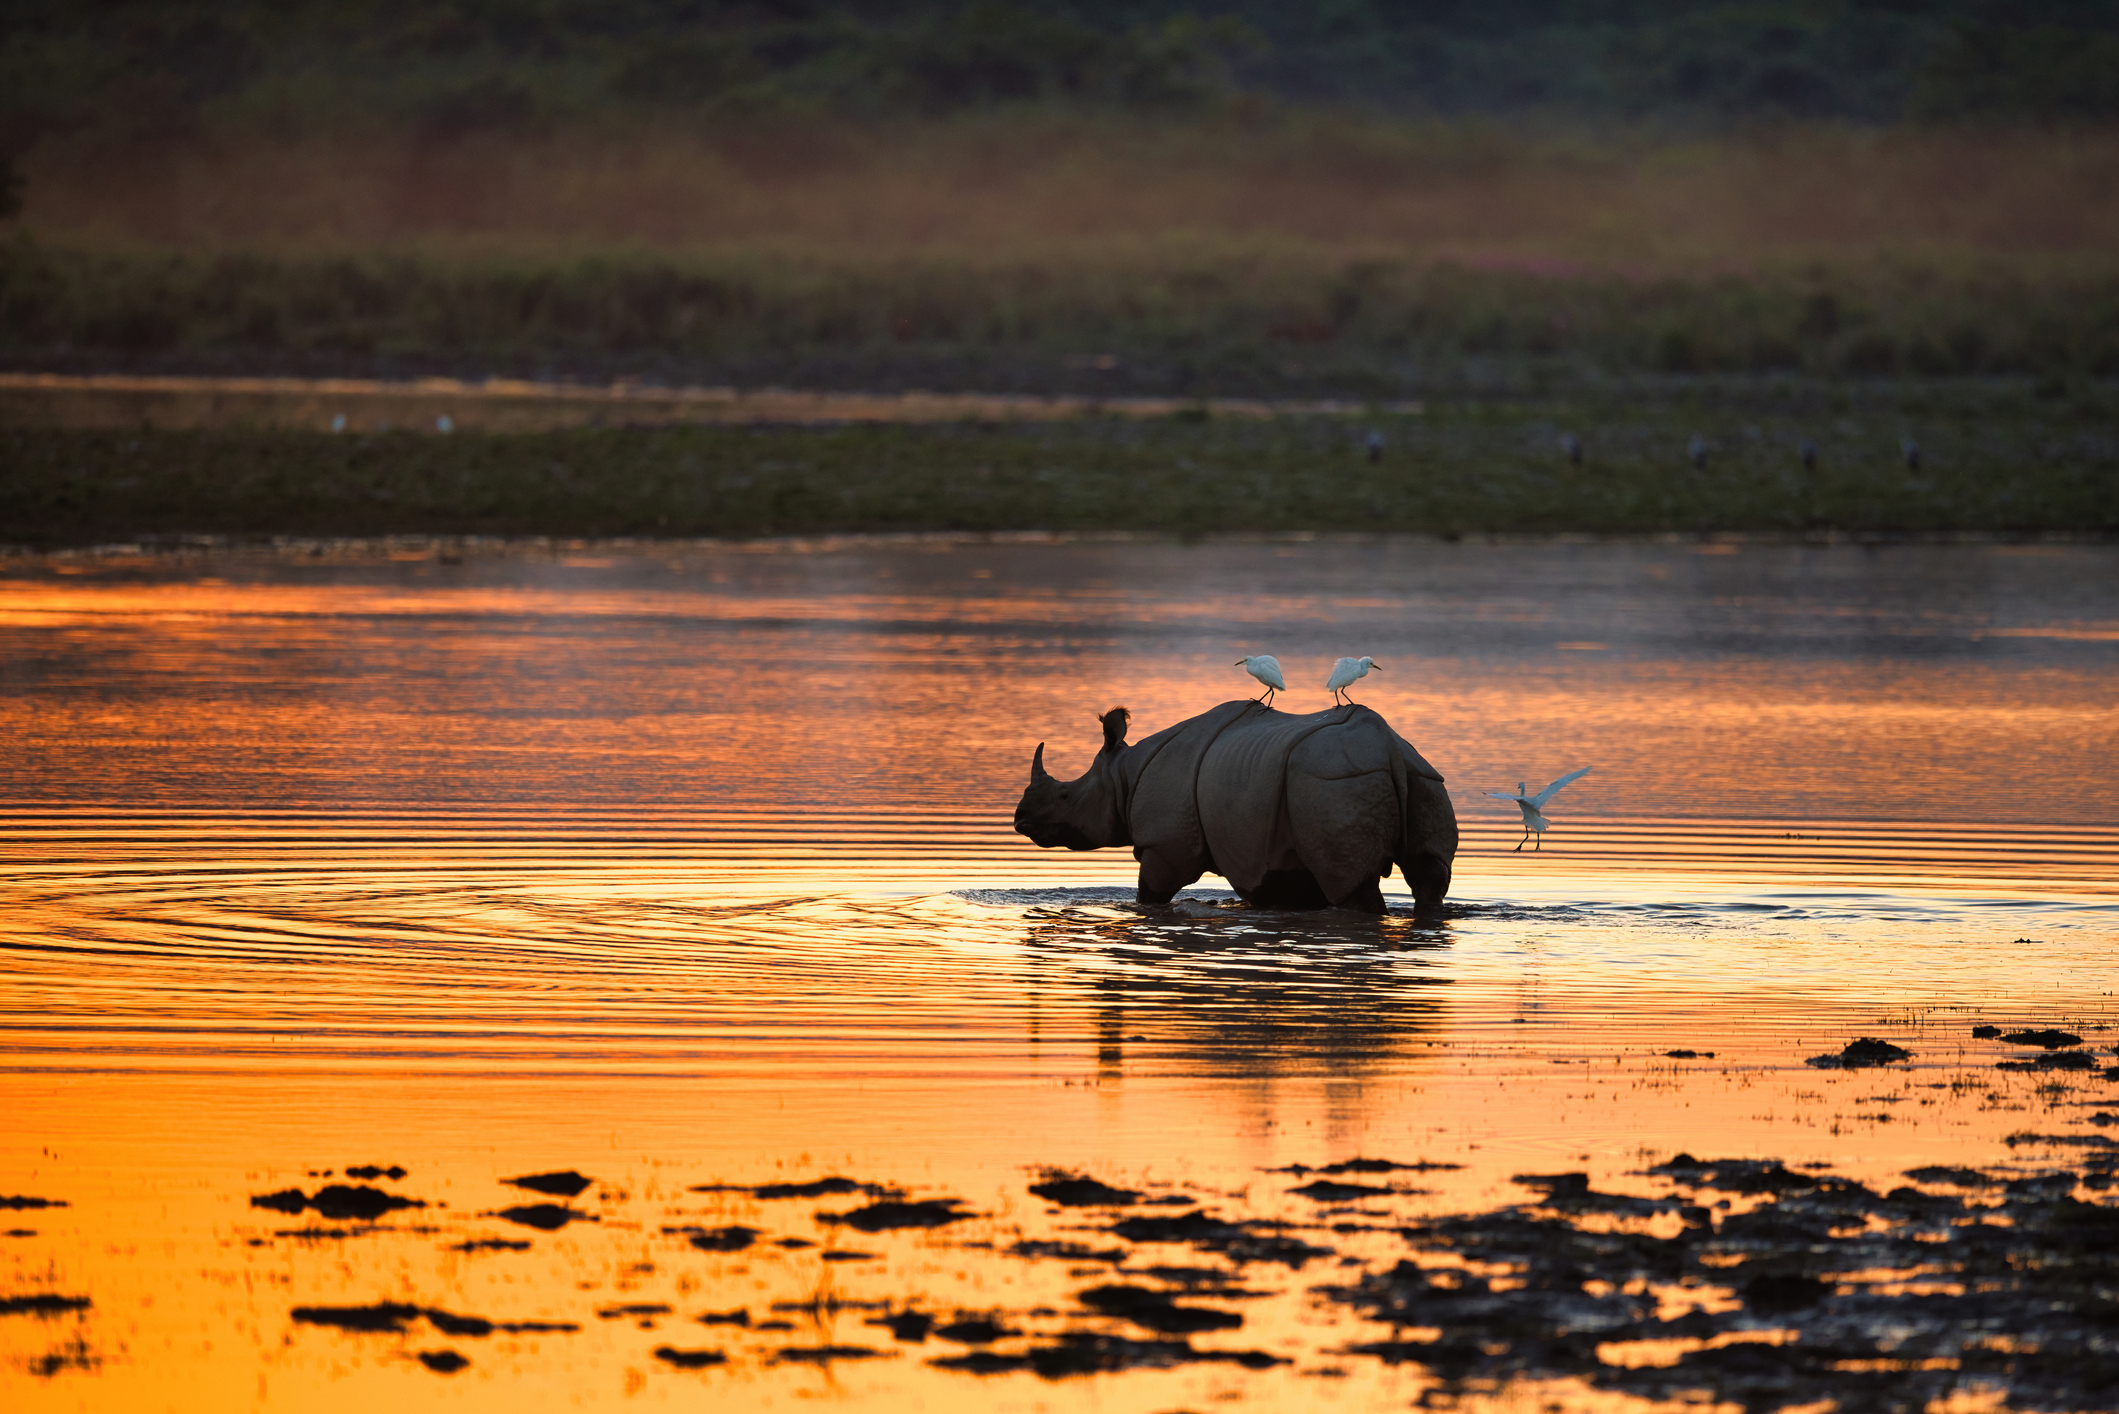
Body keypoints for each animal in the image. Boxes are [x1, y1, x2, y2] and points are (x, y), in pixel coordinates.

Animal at [1013, 700, 1458, 912]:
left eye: (1065, 796)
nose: (1020, 820)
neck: (1123, 776)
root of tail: (1388, 748)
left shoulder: (1165, 847)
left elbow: (1150, 895)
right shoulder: (1270, 854)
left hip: (1334, 783)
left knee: (1353, 887)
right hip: (1421, 776)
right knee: (1430, 874)